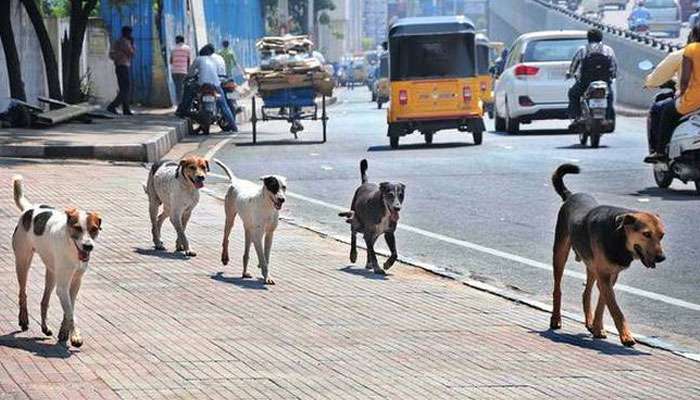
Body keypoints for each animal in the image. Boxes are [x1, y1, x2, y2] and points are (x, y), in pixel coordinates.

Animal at [10, 175, 102, 346]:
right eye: (77, 228)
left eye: (94, 229)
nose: (88, 246)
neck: (72, 249)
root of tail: (29, 209)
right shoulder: (63, 286)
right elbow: (71, 312)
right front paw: (76, 335)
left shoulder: (76, 281)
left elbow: (70, 308)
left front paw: (65, 332)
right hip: (22, 262)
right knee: (22, 293)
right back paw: (24, 320)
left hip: (52, 273)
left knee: (44, 301)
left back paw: (45, 327)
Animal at [548, 165, 664, 346]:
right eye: (646, 234)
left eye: (662, 236)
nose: (661, 258)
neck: (619, 237)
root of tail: (571, 196)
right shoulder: (604, 275)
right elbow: (616, 309)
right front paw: (626, 335)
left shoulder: (611, 276)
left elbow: (602, 304)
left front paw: (598, 328)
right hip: (560, 254)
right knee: (557, 289)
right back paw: (555, 319)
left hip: (590, 265)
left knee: (586, 293)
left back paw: (589, 322)